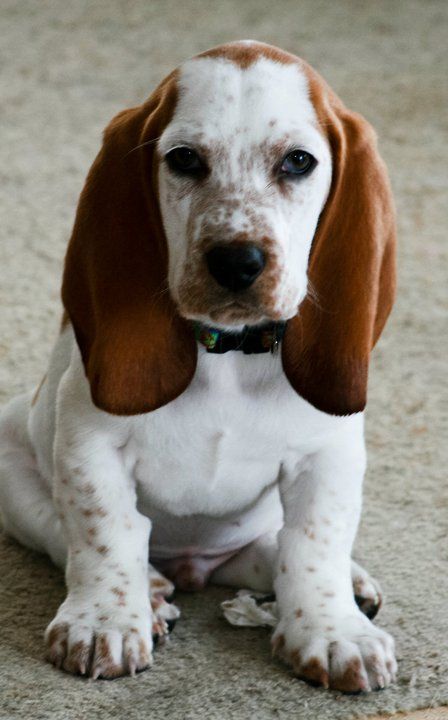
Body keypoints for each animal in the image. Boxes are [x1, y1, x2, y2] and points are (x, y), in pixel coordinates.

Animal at [1, 40, 398, 692]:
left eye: (298, 162)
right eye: (184, 159)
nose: (238, 262)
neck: (228, 351)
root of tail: (193, 565)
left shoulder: (329, 453)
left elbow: (314, 544)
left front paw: (333, 630)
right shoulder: (89, 443)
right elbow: (104, 532)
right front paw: (106, 620)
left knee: (271, 550)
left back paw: (353, 585)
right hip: (12, 459)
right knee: (68, 535)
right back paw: (152, 590)